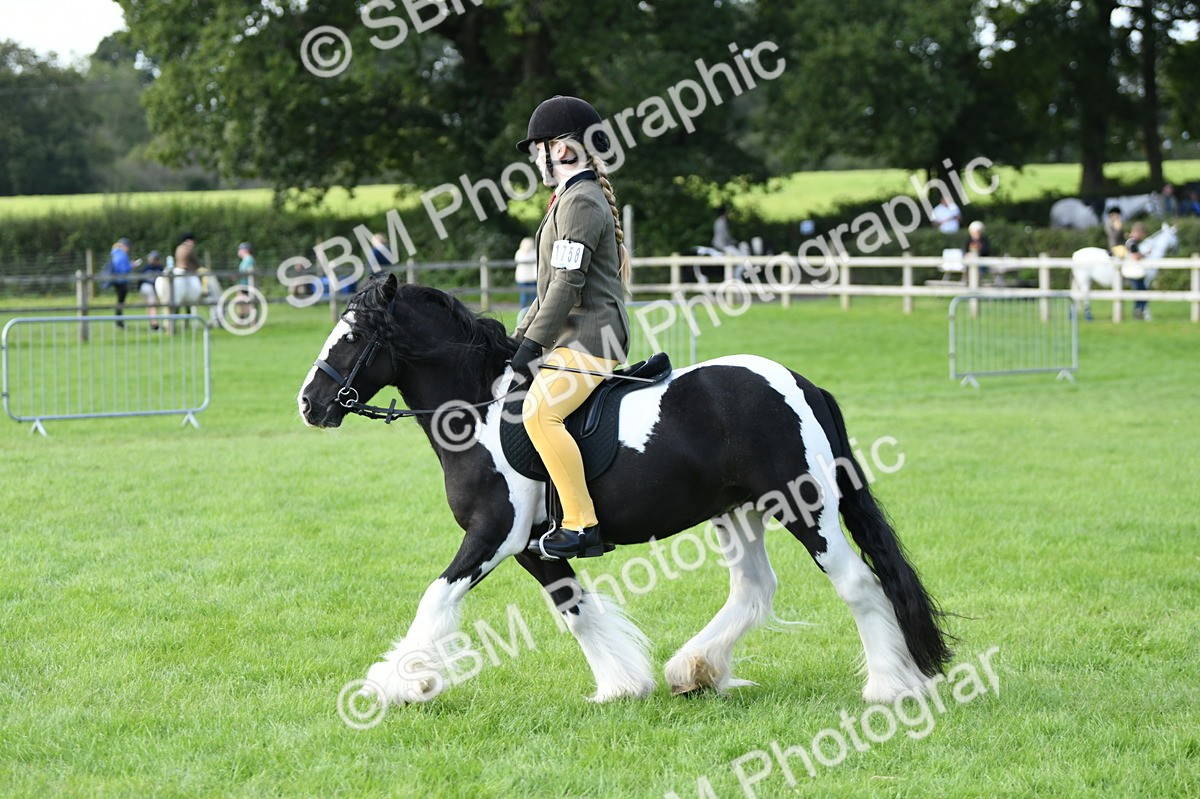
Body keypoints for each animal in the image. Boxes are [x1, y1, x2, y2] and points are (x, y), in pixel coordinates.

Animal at [297, 273, 952, 707]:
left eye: (352, 335)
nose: (309, 404)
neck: (477, 411)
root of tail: (801, 384)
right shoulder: (536, 548)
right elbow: (577, 611)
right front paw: (622, 685)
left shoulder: (493, 535)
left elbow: (435, 599)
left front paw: (396, 685)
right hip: (737, 510)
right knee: (754, 588)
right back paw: (693, 670)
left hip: (805, 503)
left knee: (857, 583)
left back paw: (888, 688)